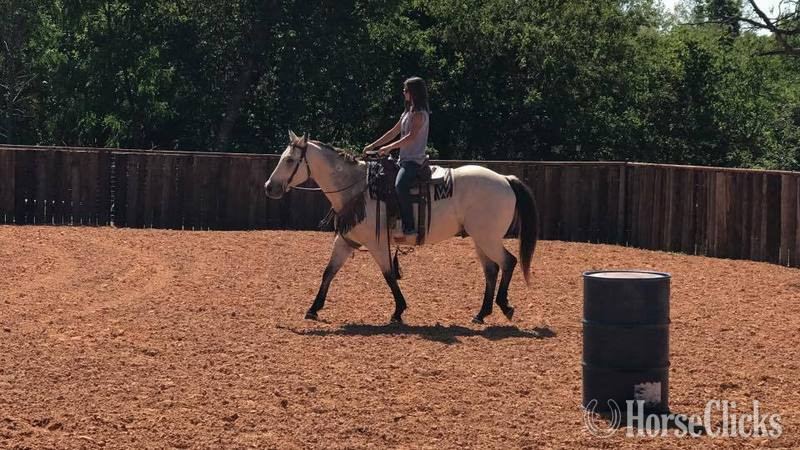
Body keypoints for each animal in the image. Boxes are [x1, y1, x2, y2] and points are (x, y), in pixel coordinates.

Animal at [264, 130, 538, 324]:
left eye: (289, 160)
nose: (269, 187)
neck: (358, 187)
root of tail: (505, 179)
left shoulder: (377, 243)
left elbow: (388, 275)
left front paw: (398, 310)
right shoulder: (346, 240)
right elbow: (328, 272)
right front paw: (313, 308)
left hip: (487, 238)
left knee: (509, 262)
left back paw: (505, 306)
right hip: (480, 239)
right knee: (492, 270)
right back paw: (481, 313)